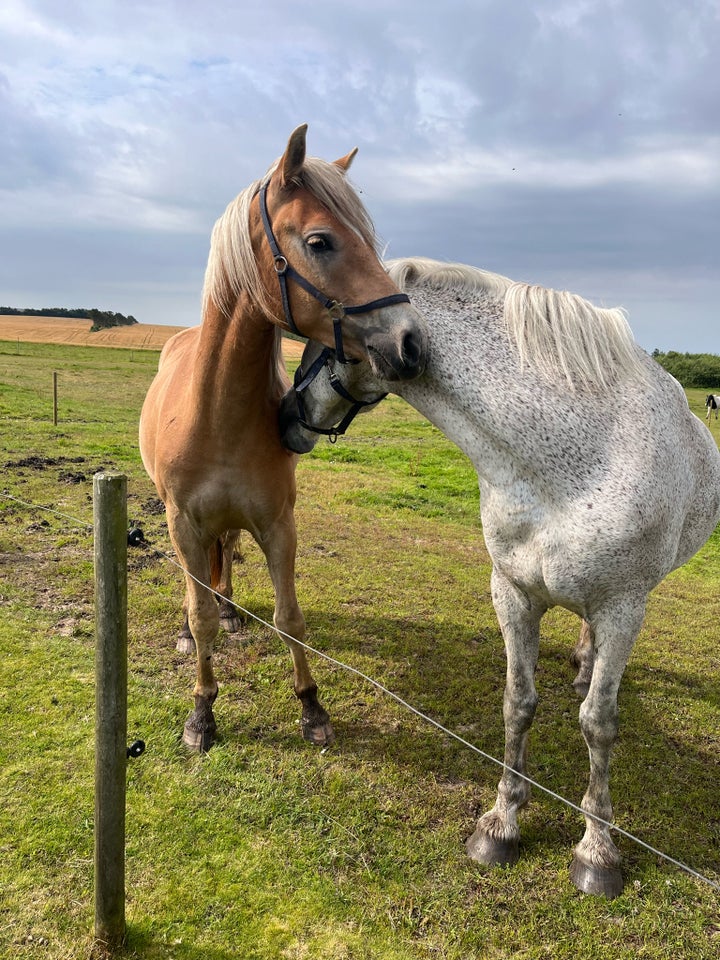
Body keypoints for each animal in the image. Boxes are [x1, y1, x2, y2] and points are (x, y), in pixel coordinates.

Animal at [139, 127, 428, 752]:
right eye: (320, 241)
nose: (413, 342)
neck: (217, 417)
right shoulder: (183, 523)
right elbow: (197, 613)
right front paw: (202, 712)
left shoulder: (278, 525)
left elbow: (289, 617)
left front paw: (312, 706)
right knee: (196, 587)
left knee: (225, 555)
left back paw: (230, 609)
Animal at [278, 256, 720, 900]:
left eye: (318, 343)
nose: (284, 419)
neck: (572, 464)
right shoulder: (512, 594)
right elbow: (518, 703)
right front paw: (501, 823)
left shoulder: (622, 606)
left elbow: (599, 724)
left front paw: (597, 851)